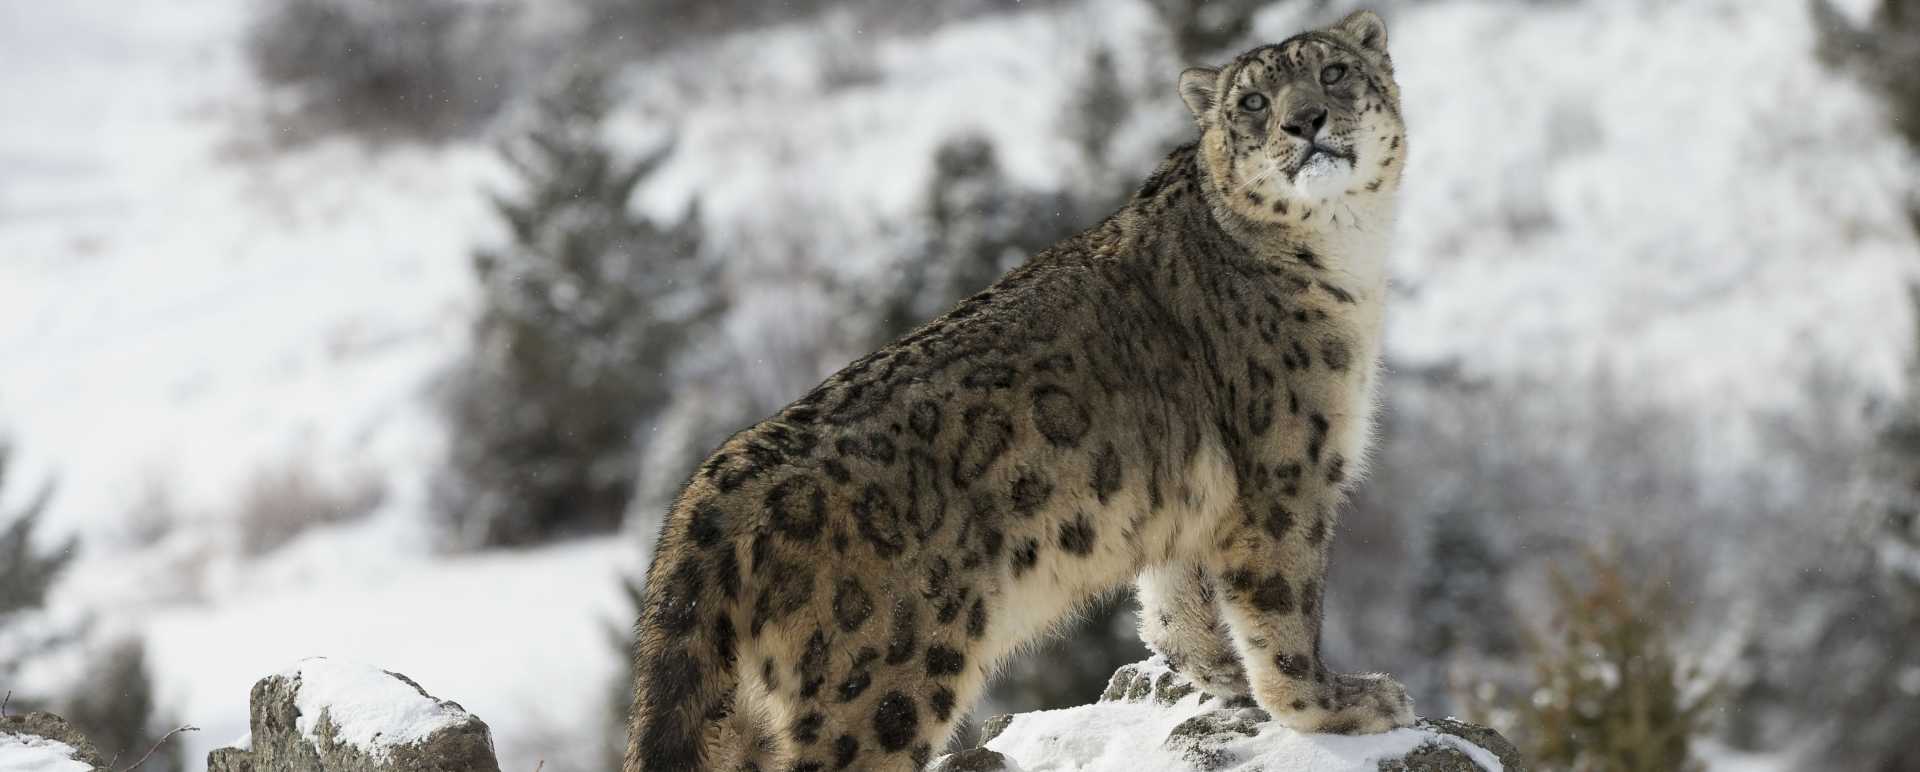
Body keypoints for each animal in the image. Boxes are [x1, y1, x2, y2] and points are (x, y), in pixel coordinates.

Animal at [626, 10, 1412, 771]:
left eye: (1333, 72)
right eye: (1252, 102)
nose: (1304, 121)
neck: (1349, 256)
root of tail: (709, 495)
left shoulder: (1194, 506)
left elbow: (1173, 608)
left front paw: (1221, 678)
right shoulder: (1286, 475)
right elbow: (1284, 607)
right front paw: (1340, 704)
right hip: (880, 685)